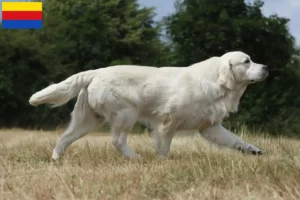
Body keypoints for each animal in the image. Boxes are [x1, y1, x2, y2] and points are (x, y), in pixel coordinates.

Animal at [29, 51, 268, 159]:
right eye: (246, 61)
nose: (266, 67)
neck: (216, 82)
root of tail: (95, 72)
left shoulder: (210, 126)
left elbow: (235, 139)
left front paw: (253, 150)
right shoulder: (167, 121)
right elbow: (163, 146)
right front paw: (162, 161)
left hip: (88, 120)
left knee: (64, 138)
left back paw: (56, 160)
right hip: (126, 114)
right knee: (117, 141)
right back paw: (135, 157)